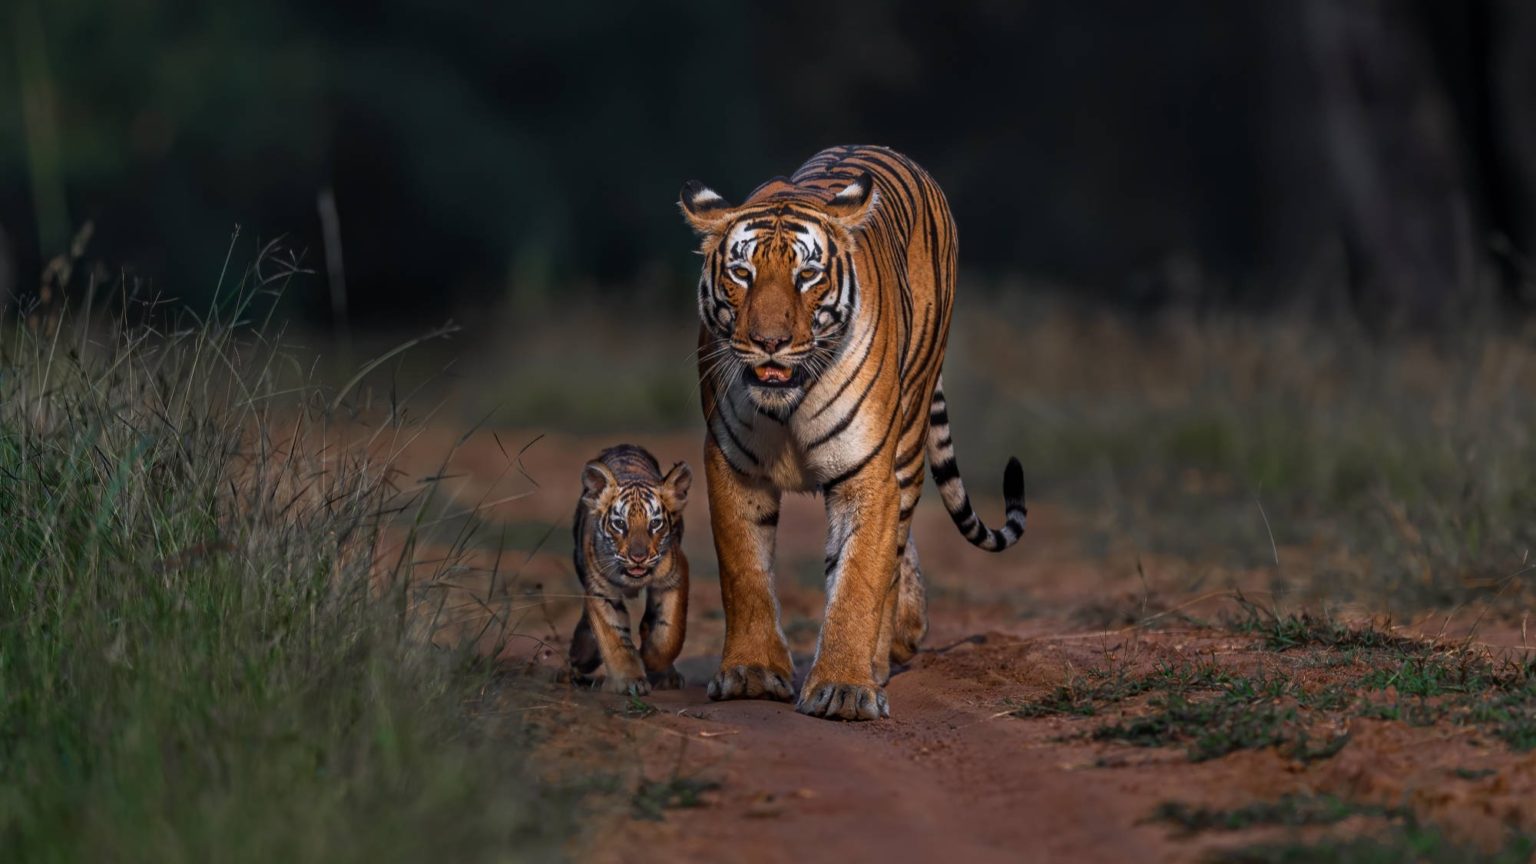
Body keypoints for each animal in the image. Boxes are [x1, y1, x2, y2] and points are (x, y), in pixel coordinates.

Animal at [681, 144, 1019, 716]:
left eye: (808, 275)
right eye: (743, 272)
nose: (770, 342)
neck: (786, 405)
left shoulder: (868, 472)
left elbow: (859, 577)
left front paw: (844, 688)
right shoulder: (732, 464)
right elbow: (744, 571)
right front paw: (751, 672)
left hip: (908, 440)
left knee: (896, 544)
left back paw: (885, 654)